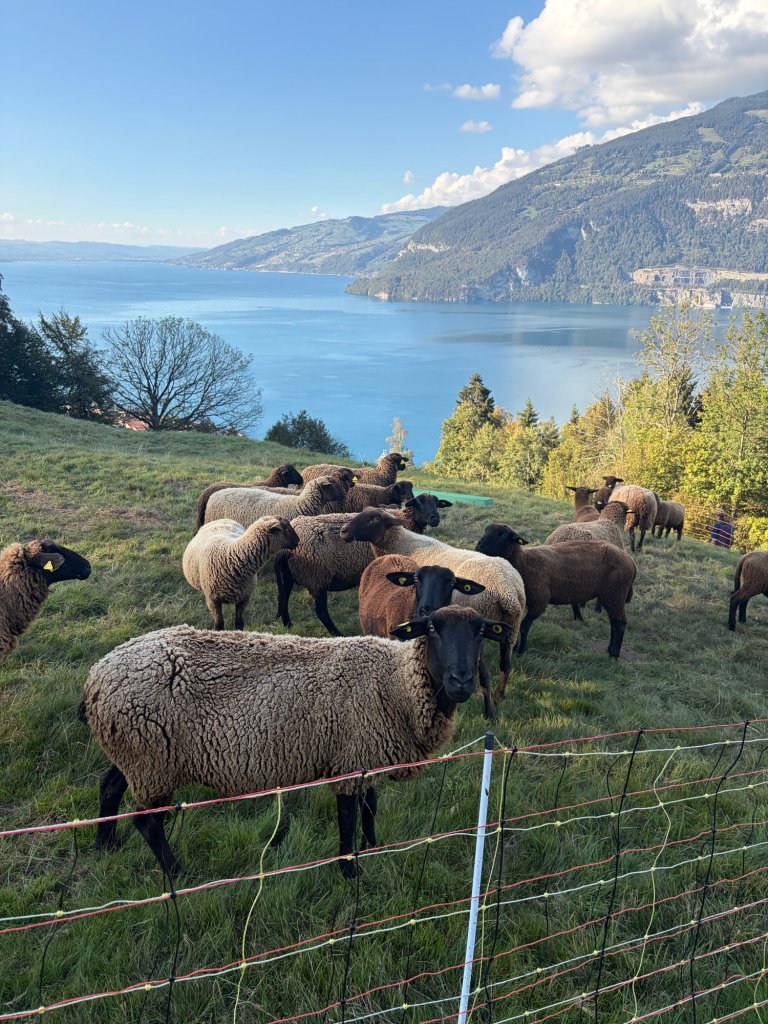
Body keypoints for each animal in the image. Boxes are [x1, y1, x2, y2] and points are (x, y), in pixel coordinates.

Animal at [80, 605, 512, 878]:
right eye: (433, 629)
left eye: (479, 633)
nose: (462, 681)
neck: (395, 682)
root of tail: (97, 677)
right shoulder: (351, 759)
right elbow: (348, 818)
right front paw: (349, 870)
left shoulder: (368, 754)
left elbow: (371, 808)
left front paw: (374, 848)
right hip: (151, 758)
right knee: (147, 822)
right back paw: (177, 874)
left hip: (135, 754)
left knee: (109, 786)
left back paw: (104, 846)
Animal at [274, 494, 451, 635]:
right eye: (418, 503)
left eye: (437, 503)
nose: (435, 518)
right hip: (317, 576)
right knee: (321, 611)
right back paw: (337, 633)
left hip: (292, 571)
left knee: (285, 594)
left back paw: (288, 623)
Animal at [475, 524, 636, 659]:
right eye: (486, 530)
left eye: (501, 535)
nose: (478, 546)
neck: (525, 563)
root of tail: (630, 560)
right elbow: (518, 625)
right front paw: (515, 648)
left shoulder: (540, 601)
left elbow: (525, 627)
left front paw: (521, 651)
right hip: (609, 595)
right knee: (614, 622)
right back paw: (609, 649)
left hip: (615, 593)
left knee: (620, 623)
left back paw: (614, 655)